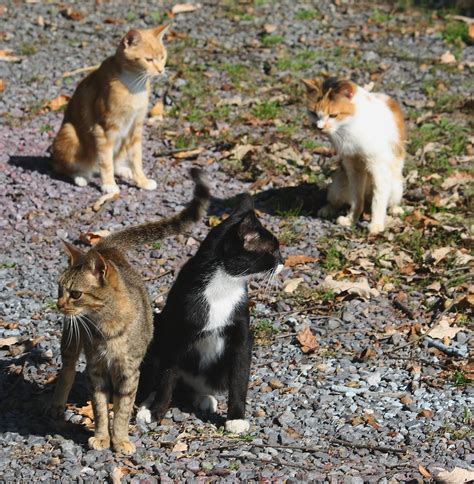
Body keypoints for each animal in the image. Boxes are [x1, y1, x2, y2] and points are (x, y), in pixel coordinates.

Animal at [49, 167, 209, 454]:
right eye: (59, 289)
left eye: (75, 294)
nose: (59, 304)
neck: (108, 328)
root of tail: (105, 247)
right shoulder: (95, 369)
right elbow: (100, 408)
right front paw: (102, 436)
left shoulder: (129, 370)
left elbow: (122, 409)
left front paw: (120, 438)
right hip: (70, 339)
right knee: (67, 370)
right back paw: (57, 405)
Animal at [51, 24, 169, 194]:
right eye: (148, 60)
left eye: (162, 57)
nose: (161, 70)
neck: (134, 84)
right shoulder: (103, 130)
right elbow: (106, 161)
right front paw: (109, 185)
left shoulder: (135, 128)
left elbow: (136, 158)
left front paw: (142, 181)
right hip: (69, 132)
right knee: (63, 167)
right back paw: (80, 176)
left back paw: (123, 170)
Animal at [135, 194, 282, 434]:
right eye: (272, 251)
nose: (282, 261)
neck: (223, 285)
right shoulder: (177, 333)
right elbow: (167, 376)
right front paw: (156, 412)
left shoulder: (241, 331)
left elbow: (239, 375)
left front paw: (236, 418)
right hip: (158, 327)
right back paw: (147, 403)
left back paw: (204, 397)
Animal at [302, 77, 406, 234]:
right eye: (313, 113)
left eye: (333, 115)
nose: (319, 127)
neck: (349, 127)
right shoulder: (353, 166)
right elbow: (357, 199)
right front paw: (351, 220)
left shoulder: (379, 166)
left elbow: (379, 199)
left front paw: (376, 225)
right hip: (338, 183)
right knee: (337, 201)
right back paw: (327, 210)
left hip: (396, 185)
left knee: (388, 201)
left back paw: (395, 210)